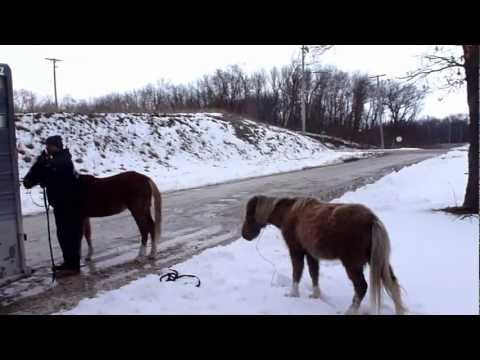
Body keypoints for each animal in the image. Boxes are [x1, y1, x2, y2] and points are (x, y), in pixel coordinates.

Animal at [244, 194, 404, 316]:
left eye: (250, 215)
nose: (244, 235)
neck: (290, 213)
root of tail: (371, 220)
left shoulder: (296, 251)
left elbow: (297, 272)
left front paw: (293, 294)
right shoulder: (310, 254)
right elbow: (313, 273)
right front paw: (316, 295)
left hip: (352, 265)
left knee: (361, 287)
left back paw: (350, 311)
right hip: (377, 261)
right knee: (392, 283)